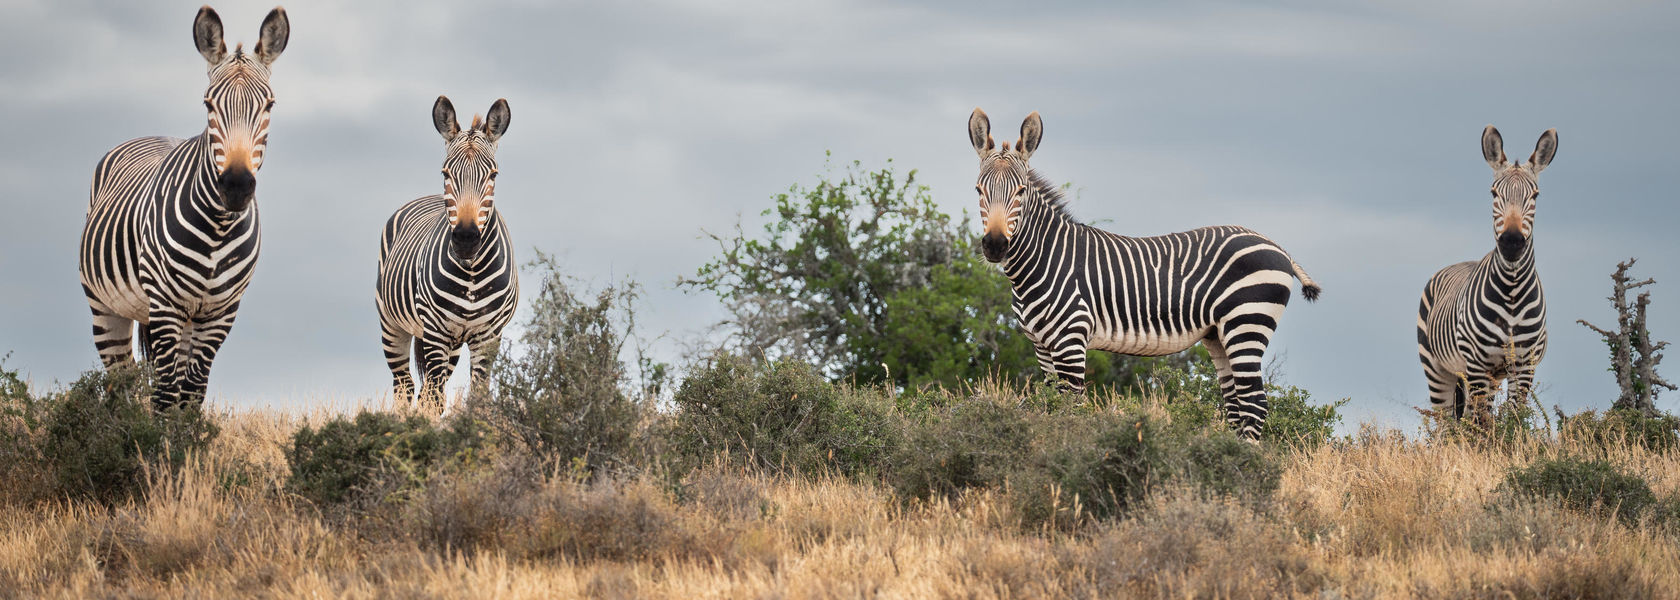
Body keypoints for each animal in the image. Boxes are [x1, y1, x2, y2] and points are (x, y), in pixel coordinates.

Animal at [79, 5, 288, 406]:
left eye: (269, 104)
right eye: (208, 104)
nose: (236, 186)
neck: (219, 227)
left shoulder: (221, 312)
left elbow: (191, 393)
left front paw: (187, 426)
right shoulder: (165, 303)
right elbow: (164, 394)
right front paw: (159, 426)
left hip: (187, 318)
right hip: (105, 306)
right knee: (121, 381)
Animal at [378, 97, 514, 416]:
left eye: (493, 175)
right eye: (446, 174)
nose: (466, 239)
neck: (472, 271)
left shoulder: (488, 336)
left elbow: (478, 399)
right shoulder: (436, 331)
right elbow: (434, 399)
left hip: (452, 343)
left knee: (422, 390)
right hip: (392, 325)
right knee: (406, 387)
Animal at [974, 107, 1310, 436]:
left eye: (1020, 191)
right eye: (978, 189)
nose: (995, 245)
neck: (1045, 259)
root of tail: (1280, 249)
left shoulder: (1071, 339)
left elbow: (1070, 410)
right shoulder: (1042, 345)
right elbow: (1049, 408)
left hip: (1246, 323)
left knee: (1254, 404)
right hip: (1220, 335)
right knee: (1236, 406)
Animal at [1411, 124, 1552, 418]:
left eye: (1535, 195)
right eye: (1494, 193)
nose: (1512, 242)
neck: (1512, 290)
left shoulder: (1524, 365)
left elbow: (1513, 420)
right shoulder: (1477, 364)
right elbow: (1479, 423)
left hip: (1490, 377)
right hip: (1437, 369)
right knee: (1448, 421)